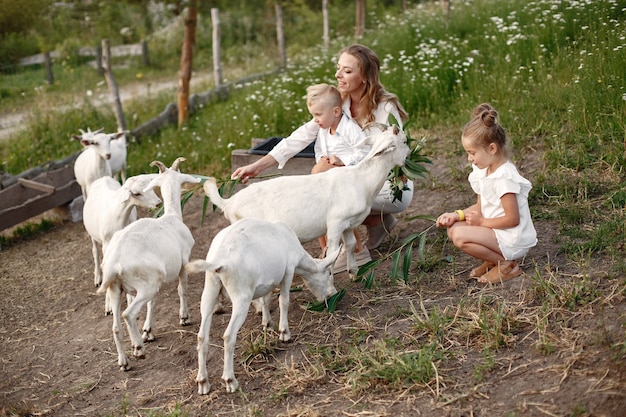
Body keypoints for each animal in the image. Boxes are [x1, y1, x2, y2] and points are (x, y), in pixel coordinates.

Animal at [81, 171, 161, 312]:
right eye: (137, 193)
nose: (158, 203)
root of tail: (103, 178)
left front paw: (130, 299)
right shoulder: (106, 243)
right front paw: (108, 305)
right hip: (92, 235)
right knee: (95, 251)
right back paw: (97, 278)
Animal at [98, 158, 200, 368]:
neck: (172, 216)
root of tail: (114, 262)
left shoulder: (153, 281)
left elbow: (152, 303)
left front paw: (148, 331)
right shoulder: (183, 264)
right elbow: (182, 290)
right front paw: (184, 318)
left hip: (117, 288)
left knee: (115, 326)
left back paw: (124, 362)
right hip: (145, 284)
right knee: (127, 314)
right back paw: (138, 349)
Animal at [185, 216, 338, 394]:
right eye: (329, 273)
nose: (328, 297)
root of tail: (219, 261)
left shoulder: (267, 281)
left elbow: (265, 299)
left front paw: (267, 324)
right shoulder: (289, 270)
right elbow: (283, 300)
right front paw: (284, 333)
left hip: (210, 289)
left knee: (202, 336)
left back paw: (203, 382)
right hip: (241, 297)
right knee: (228, 335)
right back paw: (230, 381)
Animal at [205, 125, 410, 278]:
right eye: (404, 142)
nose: (409, 156)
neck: (360, 179)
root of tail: (229, 203)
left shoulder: (349, 223)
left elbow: (351, 245)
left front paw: (353, 272)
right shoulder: (335, 223)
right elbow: (333, 250)